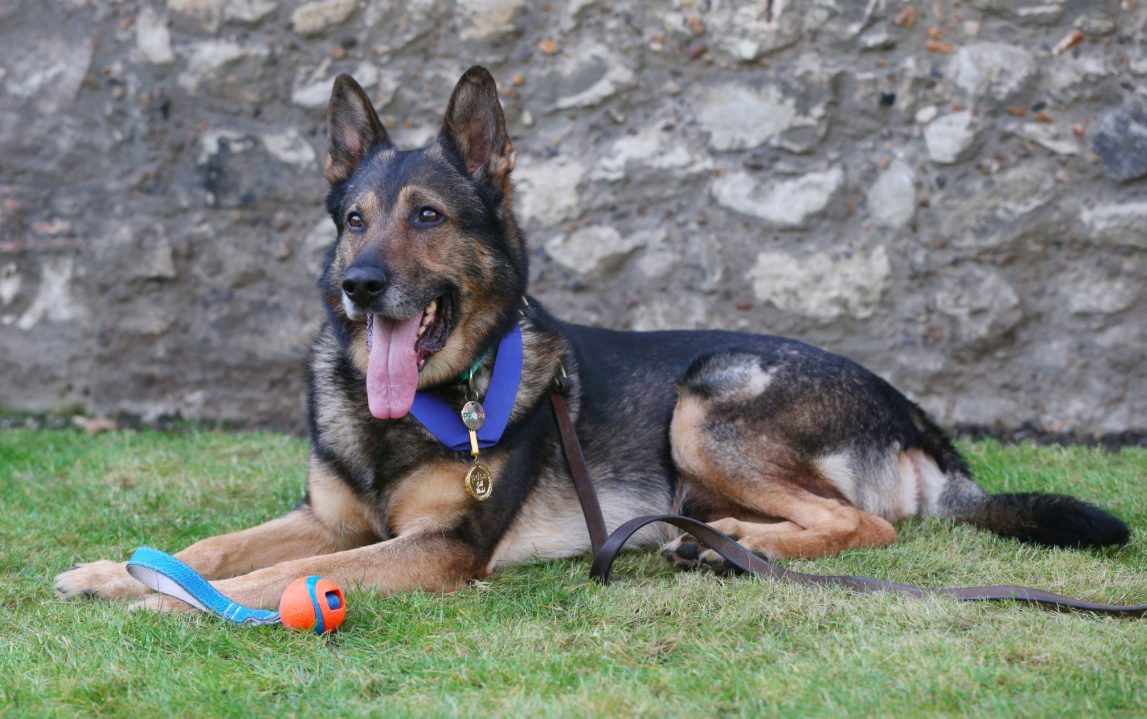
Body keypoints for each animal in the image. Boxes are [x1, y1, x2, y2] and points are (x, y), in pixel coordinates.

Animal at [55, 67, 1128, 610]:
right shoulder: (328, 519)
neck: (422, 404)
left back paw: (733, 545)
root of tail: (907, 409)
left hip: (707, 401)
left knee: (869, 524)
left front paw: (167, 599)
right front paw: (119, 569)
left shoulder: (440, 548)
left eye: (428, 217)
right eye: (354, 220)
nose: (361, 288)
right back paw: (710, 545)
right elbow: (214, 544)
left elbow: (274, 576)